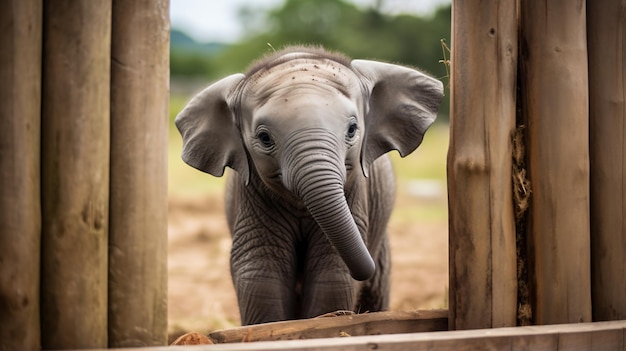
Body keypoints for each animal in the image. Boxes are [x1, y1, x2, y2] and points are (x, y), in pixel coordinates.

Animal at [173, 46, 442, 328]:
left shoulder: (355, 192)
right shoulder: (252, 195)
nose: (365, 270)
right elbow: (261, 269)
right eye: (264, 138)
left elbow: (331, 271)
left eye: (352, 129)